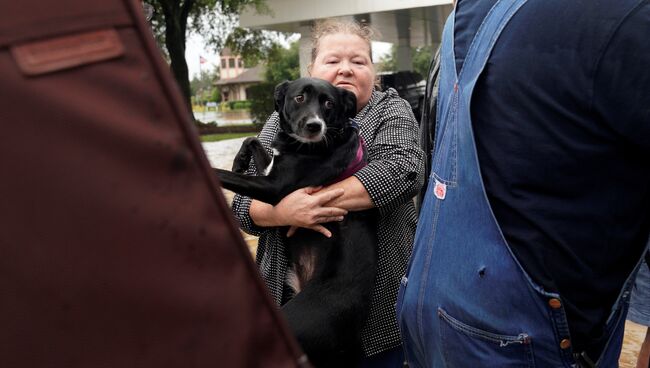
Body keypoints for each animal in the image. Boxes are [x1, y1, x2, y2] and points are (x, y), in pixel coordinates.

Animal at [214, 77, 374, 366]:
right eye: (299, 98)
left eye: (328, 103)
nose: (314, 125)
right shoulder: (269, 171)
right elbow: (253, 140)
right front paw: (239, 160)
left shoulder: (273, 188)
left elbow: (223, 174)